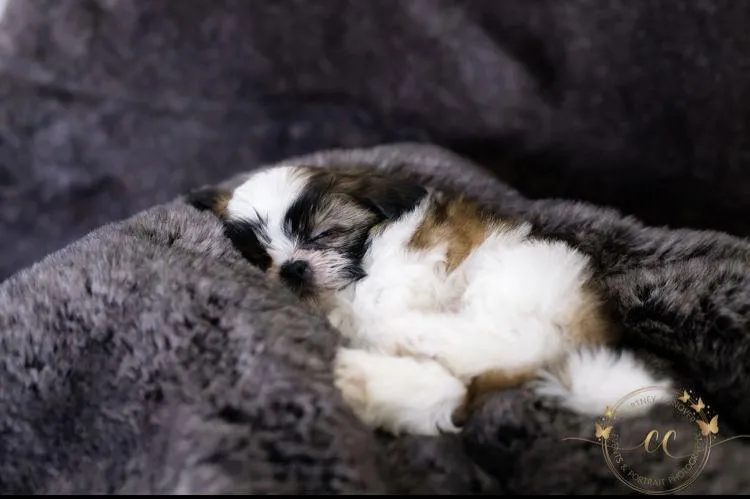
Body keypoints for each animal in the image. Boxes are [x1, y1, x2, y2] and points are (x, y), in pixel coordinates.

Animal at [188, 165, 676, 438]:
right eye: (258, 257)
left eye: (324, 234)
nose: (292, 268)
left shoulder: (409, 261)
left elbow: (381, 297)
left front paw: (374, 318)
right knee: (456, 386)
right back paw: (372, 381)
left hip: (513, 282)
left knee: (504, 342)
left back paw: (402, 340)